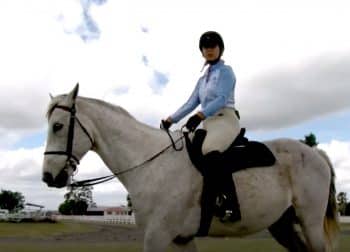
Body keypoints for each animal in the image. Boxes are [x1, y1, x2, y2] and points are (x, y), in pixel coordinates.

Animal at [41, 85, 340, 252]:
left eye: (58, 126)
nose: (48, 177)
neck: (151, 164)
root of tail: (315, 153)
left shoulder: (157, 237)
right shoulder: (181, 239)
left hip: (310, 223)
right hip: (282, 224)